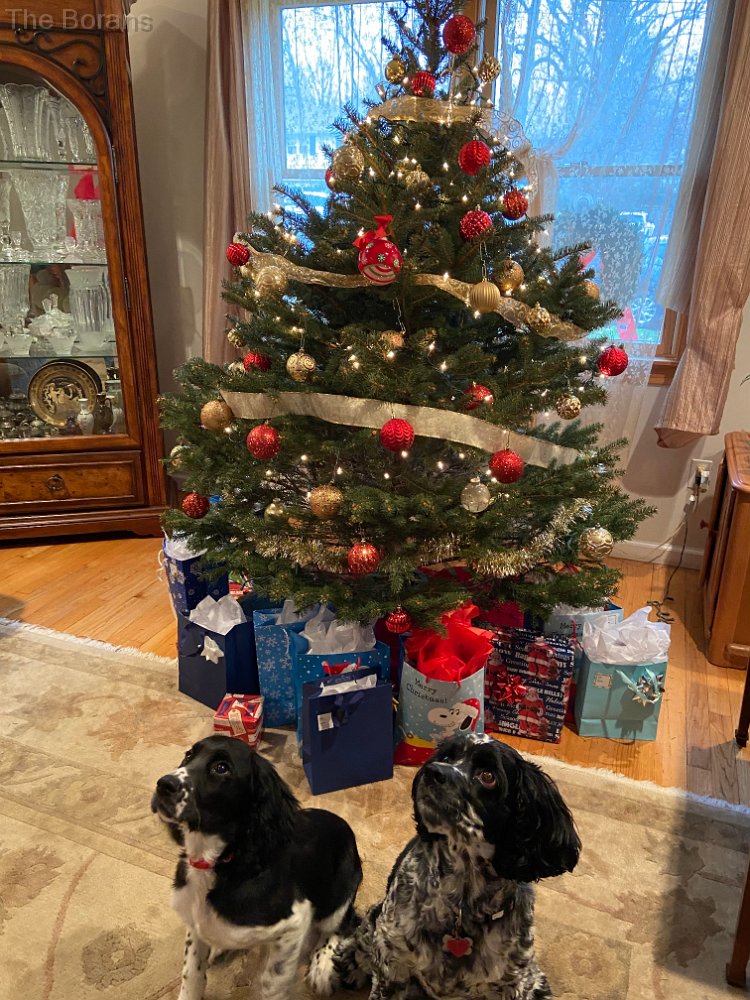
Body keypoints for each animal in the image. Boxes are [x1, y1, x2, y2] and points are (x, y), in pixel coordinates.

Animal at [152, 735, 362, 1000]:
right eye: (189, 755)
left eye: (221, 768)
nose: (163, 785)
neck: (221, 863)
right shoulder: (194, 920)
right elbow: (192, 971)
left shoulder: (295, 922)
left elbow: (273, 982)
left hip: (341, 889)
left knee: (343, 922)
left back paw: (322, 967)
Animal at [310, 732, 580, 1000]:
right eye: (447, 757)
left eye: (488, 776)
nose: (433, 771)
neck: (462, 904)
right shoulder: (391, 965)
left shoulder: (514, 983)